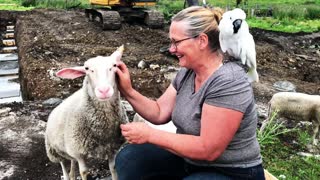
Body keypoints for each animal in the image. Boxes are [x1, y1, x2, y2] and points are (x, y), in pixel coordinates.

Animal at [45, 45, 127, 180]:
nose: (104, 90)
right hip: (54, 151)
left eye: (114, 65)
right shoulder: (79, 152)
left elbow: (113, 169)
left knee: (72, 167)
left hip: (68, 151)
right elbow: (84, 172)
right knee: (64, 167)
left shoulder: (112, 148)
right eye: (87, 69)